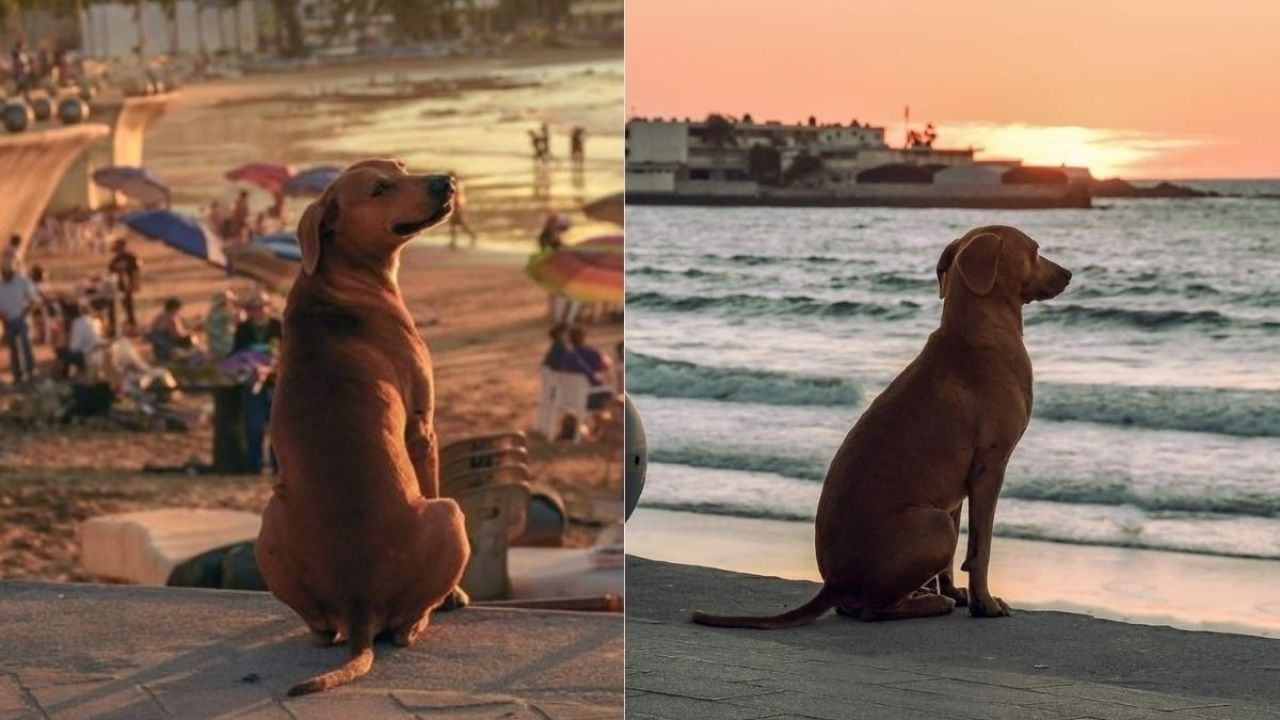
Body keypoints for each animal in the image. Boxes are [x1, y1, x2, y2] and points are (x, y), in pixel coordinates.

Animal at [254, 159, 471, 691]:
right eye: (380, 188)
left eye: (402, 168)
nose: (448, 181)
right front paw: (456, 596)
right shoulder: (422, 426)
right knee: (404, 628)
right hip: (449, 514)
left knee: (319, 630)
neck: (337, 281)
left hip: (268, 523)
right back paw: (426, 615)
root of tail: (359, 604)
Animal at [691, 225, 1070, 627]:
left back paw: (927, 595)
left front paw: (956, 592)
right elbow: (980, 549)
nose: (1069, 274)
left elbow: (955, 559)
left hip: (937, 517)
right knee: (871, 610)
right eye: (1035, 250)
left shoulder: (957, 483)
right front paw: (985, 603)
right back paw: (927, 603)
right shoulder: (989, 468)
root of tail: (834, 583)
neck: (978, 330)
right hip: (934, 524)